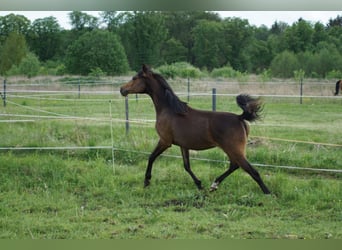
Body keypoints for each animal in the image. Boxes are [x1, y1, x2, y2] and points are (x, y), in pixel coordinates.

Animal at [120, 64, 270, 193]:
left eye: (135, 78)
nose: (122, 89)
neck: (169, 110)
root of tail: (240, 118)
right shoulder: (183, 145)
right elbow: (187, 166)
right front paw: (199, 184)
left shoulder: (164, 141)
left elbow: (151, 157)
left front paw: (146, 181)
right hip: (233, 149)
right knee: (235, 165)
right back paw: (214, 185)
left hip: (233, 148)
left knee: (251, 170)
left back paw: (267, 192)